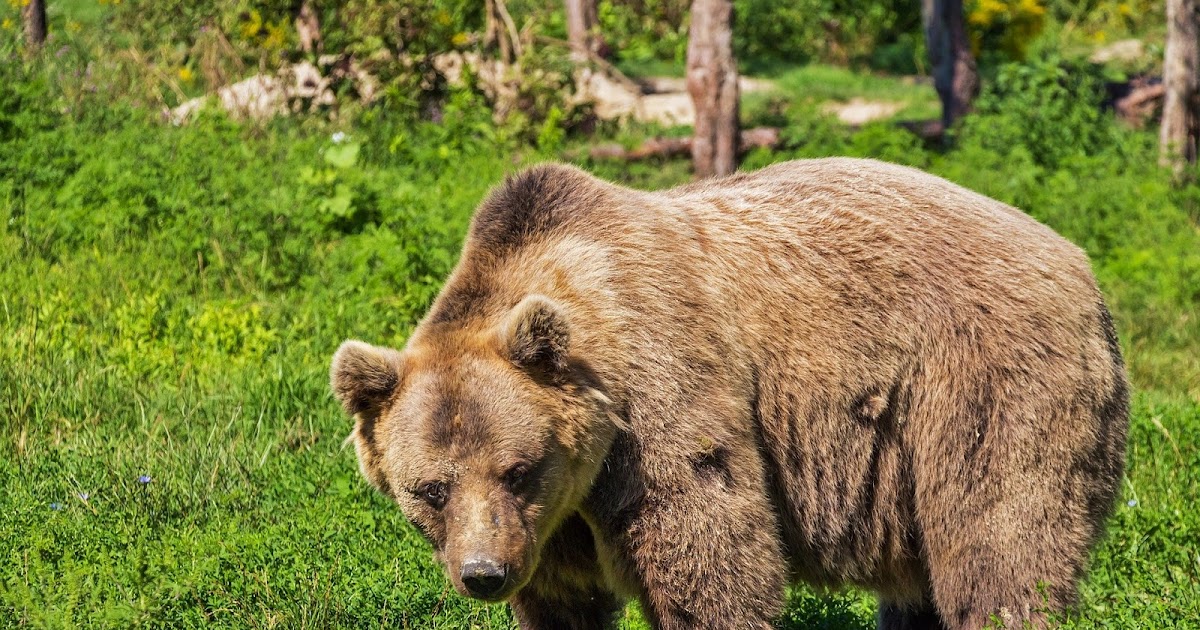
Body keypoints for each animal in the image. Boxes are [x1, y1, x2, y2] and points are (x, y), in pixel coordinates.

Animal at [330, 158, 1129, 629]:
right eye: (430, 489)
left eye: (517, 469)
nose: (483, 575)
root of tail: (1079, 262)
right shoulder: (552, 528)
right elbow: (564, 601)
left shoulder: (659, 401)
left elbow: (710, 551)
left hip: (982, 384)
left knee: (999, 542)